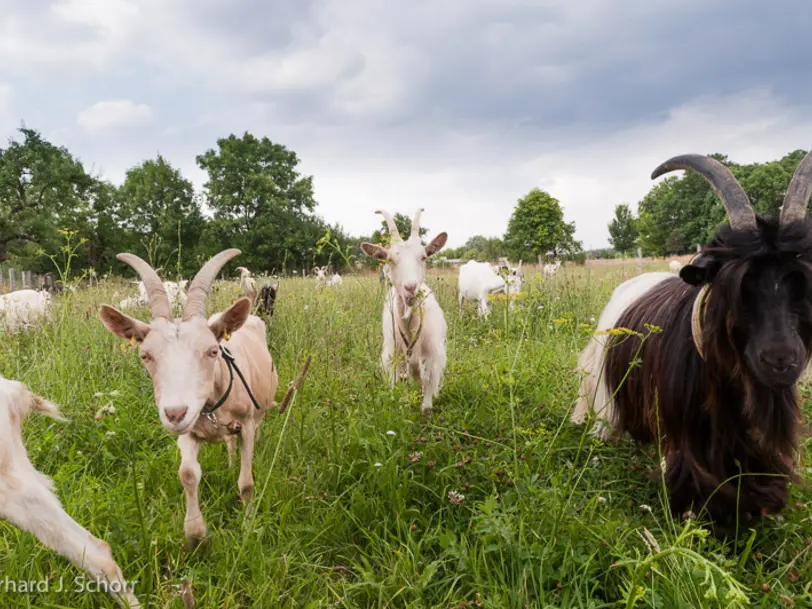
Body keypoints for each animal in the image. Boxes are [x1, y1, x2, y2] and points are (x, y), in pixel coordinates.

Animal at [98, 249, 280, 544]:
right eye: (145, 355)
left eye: (212, 351)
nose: (175, 413)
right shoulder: (188, 432)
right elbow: (187, 474)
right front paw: (195, 534)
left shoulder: (246, 424)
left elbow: (246, 482)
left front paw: (247, 527)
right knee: (228, 443)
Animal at [364, 207, 450, 416]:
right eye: (390, 259)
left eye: (424, 257)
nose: (410, 288)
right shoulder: (395, 358)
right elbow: (401, 389)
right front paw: (404, 408)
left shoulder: (433, 356)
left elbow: (428, 392)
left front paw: (426, 410)